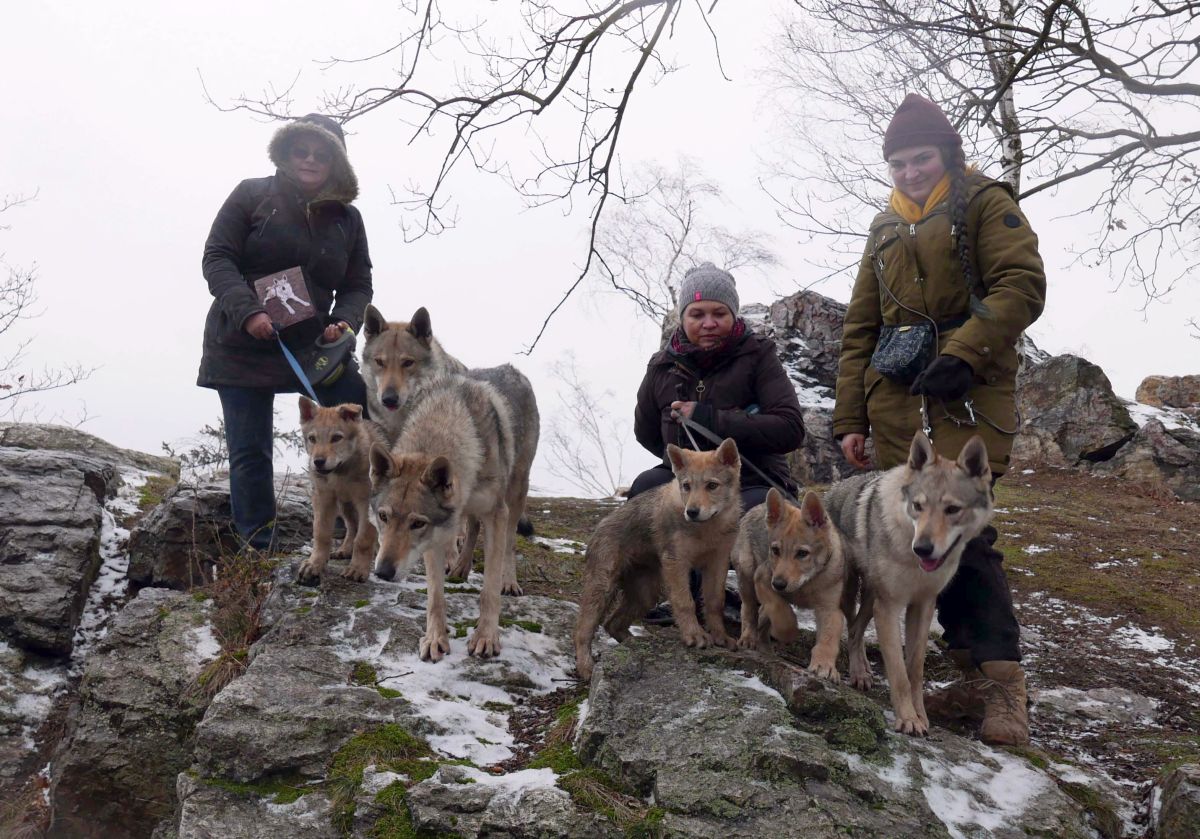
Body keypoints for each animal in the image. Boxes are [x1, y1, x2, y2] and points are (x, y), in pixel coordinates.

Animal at [296, 398, 384, 583]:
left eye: (336, 438)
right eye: (312, 439)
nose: (318, 462)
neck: (341, 472)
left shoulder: (367, 503)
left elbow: (364, 538)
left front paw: (357, 569)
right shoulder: (323, 498)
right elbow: (321, 533)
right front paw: (314, 564)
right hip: (345, 506)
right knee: (352, 527)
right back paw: (345, 550)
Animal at [367, 374, 532, 662]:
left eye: (417, 523)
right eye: (383, 516)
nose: (383, 573)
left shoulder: (496, 515)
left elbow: (489, 589)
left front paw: (486, 637)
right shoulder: (436, 535)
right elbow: (435, 596)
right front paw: (435, 638)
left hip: (515, 496)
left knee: (509, 543)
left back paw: (509, 582)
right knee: (471, 527)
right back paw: (460, 568)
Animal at [571, 439, 739, 681]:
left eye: (712, 485)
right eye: (686, 486)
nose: (692, 512)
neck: (706, 529)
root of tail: (598, 528)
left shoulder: (717, 564)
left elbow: (715, 603)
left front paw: (721, 637)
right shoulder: (677, 562)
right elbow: (685, 602)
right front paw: (694, 635)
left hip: (645, 594)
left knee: (612, 623)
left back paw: (635, 645)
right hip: (602, 588)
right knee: (583, 630)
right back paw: (586, 667)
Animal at [734, 489, 849, 681]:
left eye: (802, 553)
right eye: (775, 550)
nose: (779, 584)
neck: (806, 584)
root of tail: (755, 508)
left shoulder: (830, 608)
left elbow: (829, 638)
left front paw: (824, 665)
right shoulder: (763, 578)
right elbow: (782, 614)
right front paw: (787, 633)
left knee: (761, 613)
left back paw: (766, 649)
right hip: (747, 574)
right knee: (749, 610)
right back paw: (749, 638)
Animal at [825, 432, 993, 734]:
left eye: (952, 509)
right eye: (918, 506)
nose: (923, 549)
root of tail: (833, 488)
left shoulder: (922, 606)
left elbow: (914, 669)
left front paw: (921, 716)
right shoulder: (889, 608)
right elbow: (898, 672)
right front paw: (907, 719)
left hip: (871, 598)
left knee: (856, 629)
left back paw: (862, 672)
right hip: (854, 591)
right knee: (849, 625)